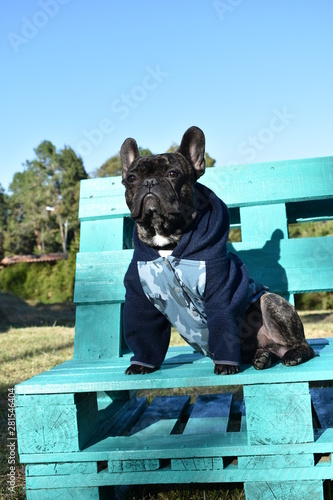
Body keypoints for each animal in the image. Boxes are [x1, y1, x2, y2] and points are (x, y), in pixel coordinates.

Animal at [120, 126, 314, 376]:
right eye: (132, 178)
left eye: (173, 174)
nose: (150, 182)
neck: (167, 243)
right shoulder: (139, 299)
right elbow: (144, 332)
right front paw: (140, 365)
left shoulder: (220, 291)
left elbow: (223, 326)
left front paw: (225, 365)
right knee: (266, 350)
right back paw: (262, 357)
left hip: (271, 302)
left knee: (303, 344)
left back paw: (293, 354)